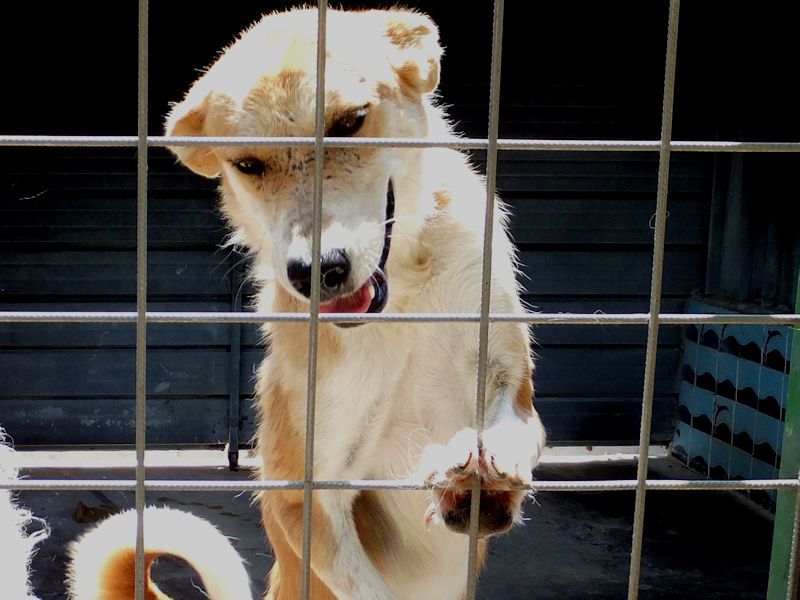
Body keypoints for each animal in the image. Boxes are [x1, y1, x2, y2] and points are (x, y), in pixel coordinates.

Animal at [165, 7, 546, 600]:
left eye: (350, 122)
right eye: (247, 163)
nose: (315, 272)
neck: (400, 306)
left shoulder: (512, 380)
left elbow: (513, 424)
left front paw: (483, 475)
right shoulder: (301, 492)